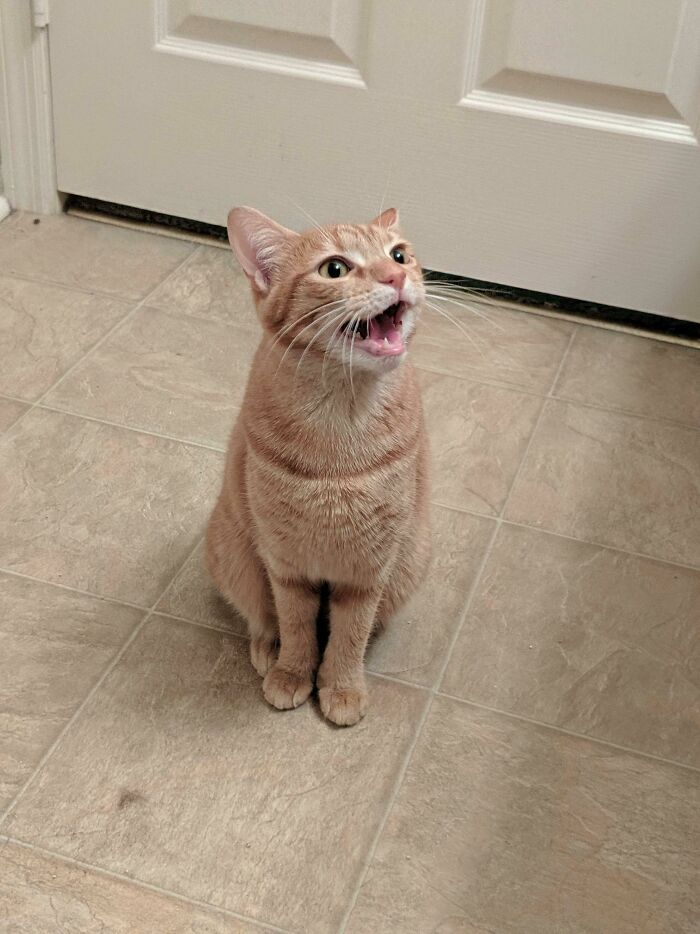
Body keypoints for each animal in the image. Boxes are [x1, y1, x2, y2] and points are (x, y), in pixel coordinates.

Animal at [205, 208, 430, 728]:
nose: (395, 277)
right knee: (262, 617)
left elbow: (349, 633)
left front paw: (341, 684)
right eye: (335, 269)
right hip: (238, 555)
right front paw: (293, 672)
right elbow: (296, 624)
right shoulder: (286, 564)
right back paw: (268, 650)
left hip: (411, 559)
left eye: (399, 255)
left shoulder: (369, 569)